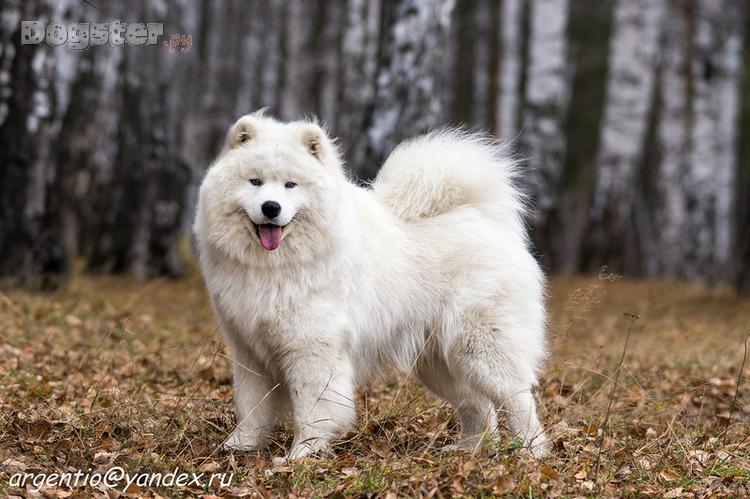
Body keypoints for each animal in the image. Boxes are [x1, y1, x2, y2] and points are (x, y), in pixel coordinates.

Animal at [195, 111, 552, 462]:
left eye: (290, 185)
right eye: (254, 181)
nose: (271, 207)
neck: (277, 264)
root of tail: (483, 218)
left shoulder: (311, 349)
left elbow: (311, 408)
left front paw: (302, 454)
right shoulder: (249, 350)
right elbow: (250, 405)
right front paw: (240, 447)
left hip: (481, 347)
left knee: (518, 399)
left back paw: (530, 452)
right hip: (440, 361)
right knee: (478, 406)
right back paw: (469, 450)